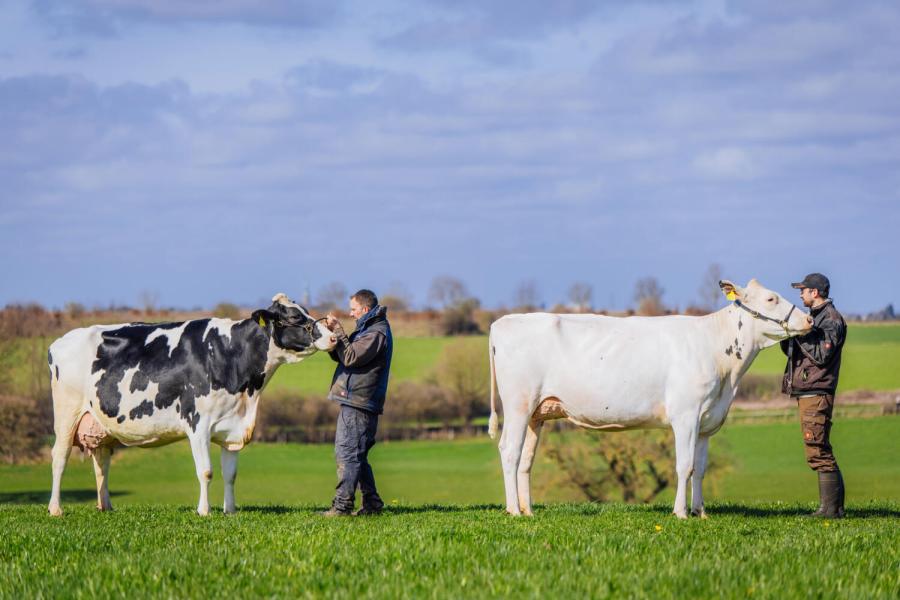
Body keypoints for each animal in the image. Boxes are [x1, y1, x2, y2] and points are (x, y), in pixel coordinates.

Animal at [46, 293, 335, 517]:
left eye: (307, 312)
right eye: (295, 318)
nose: (333, 336)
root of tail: (60, 341)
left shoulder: (232, 425)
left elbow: (230, 474)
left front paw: (230, 511)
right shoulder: (198, 424)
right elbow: (206, 471)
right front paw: (204, 511)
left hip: (100, 422)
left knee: (101, 461)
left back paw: (106, 506)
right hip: (67, 411)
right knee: (60, 456)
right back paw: (55, 509)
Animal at [487, 279, 814, 518]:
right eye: (771, 299)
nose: (809, 319)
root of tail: (502, 322)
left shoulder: (707, 421)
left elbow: (701, 468)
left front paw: (701, 512)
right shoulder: (686, 414)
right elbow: (684, 465)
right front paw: (680, 513)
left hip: (537, 413)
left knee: (526, 459)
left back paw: (528, 510)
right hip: (518, 404)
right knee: (509, 451)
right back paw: (513, 510)